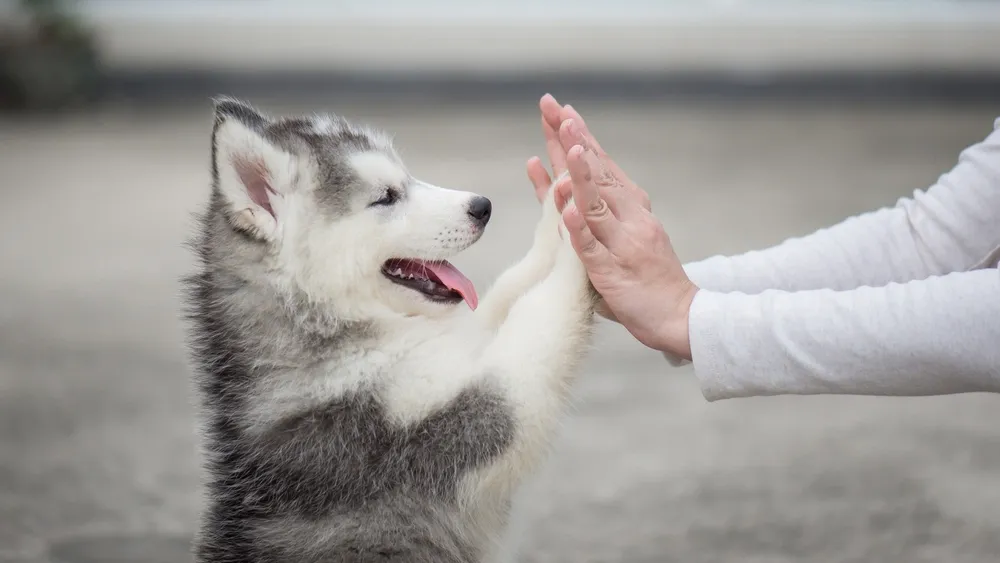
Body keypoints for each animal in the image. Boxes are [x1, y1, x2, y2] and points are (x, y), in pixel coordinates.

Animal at [184, 98, 596, 563]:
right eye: (386, 197)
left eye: (407, 177)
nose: (482, 206)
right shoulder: (453, 424)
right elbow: (538, 316)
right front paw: (582, 236)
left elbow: (507, 290)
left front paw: (559, 210)